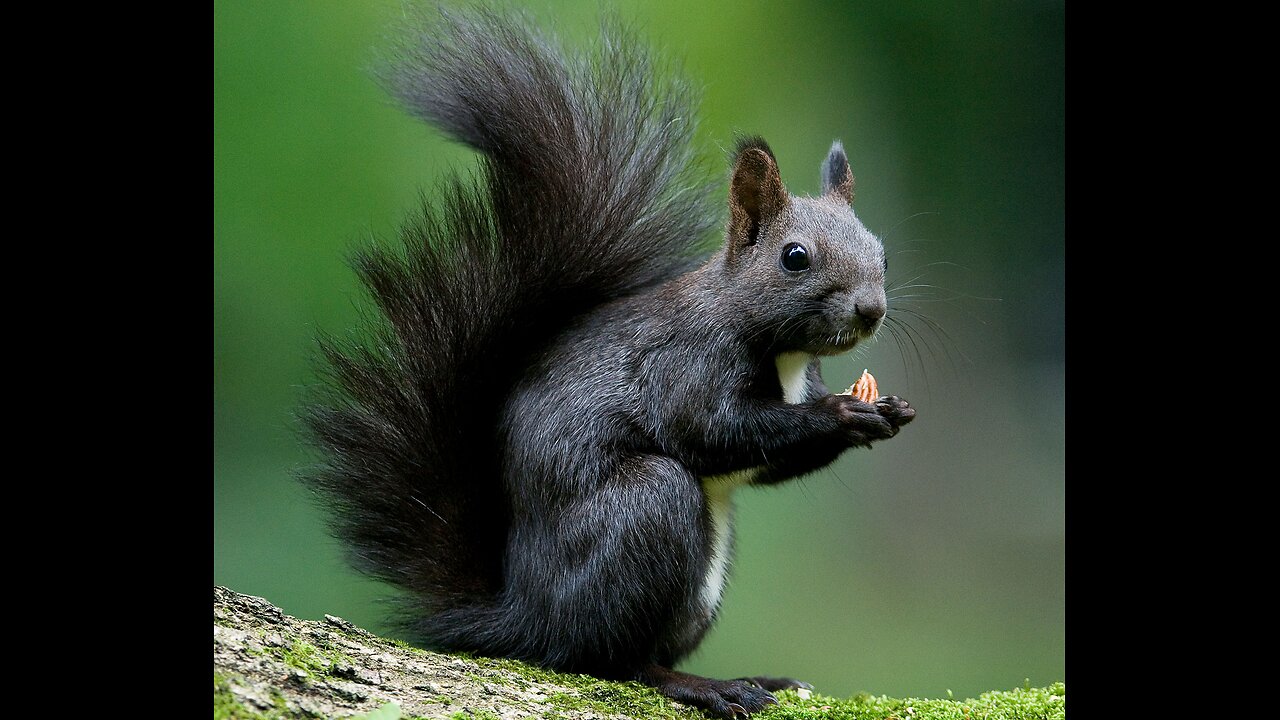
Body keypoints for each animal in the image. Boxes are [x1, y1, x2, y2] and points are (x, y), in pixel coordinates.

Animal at [304, 7, 916, 717]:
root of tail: (524, 614)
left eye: (879, 249)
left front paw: (888, 411)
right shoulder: (684, 367)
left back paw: (758, 679)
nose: (871, 309)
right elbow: (715, 430)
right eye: (795, 257)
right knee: (612, 658)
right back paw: (710, 687)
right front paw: (843, 414)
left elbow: (771, 462)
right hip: (647, 511)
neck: (782, 353)